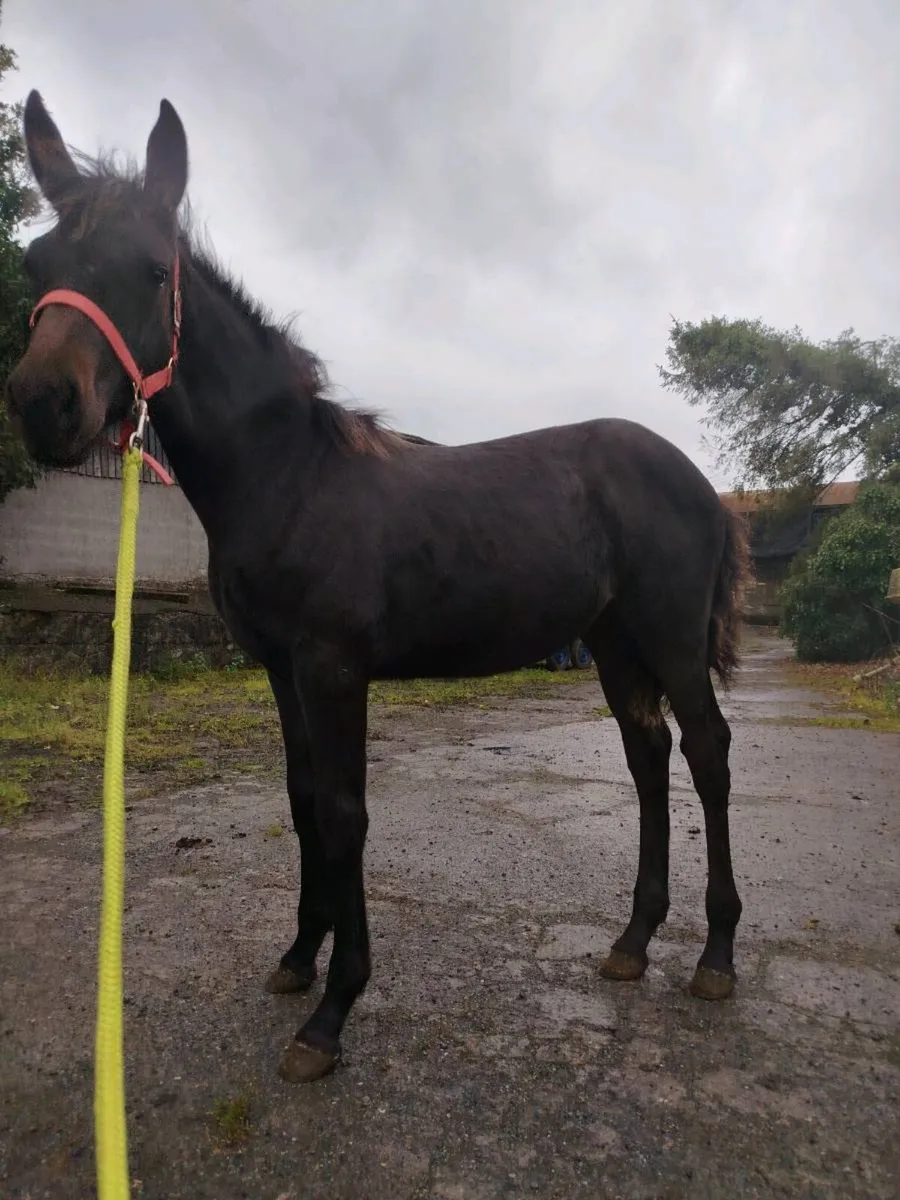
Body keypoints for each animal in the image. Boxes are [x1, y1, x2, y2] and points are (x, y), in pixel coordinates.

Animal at [6, 91, 751, 1084]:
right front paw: (296, 958)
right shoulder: (281, 669)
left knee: (707, 752)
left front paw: (333, 1012)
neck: (287, 474)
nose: (44, 405)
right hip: (614, 644)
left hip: (668, 638)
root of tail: (703, 484)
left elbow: (345, 811)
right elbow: (301, 802)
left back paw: (716, 956)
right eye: (37, 262)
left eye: (152, 270)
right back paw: (633, 942)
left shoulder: (333, 667)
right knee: (647, 755)